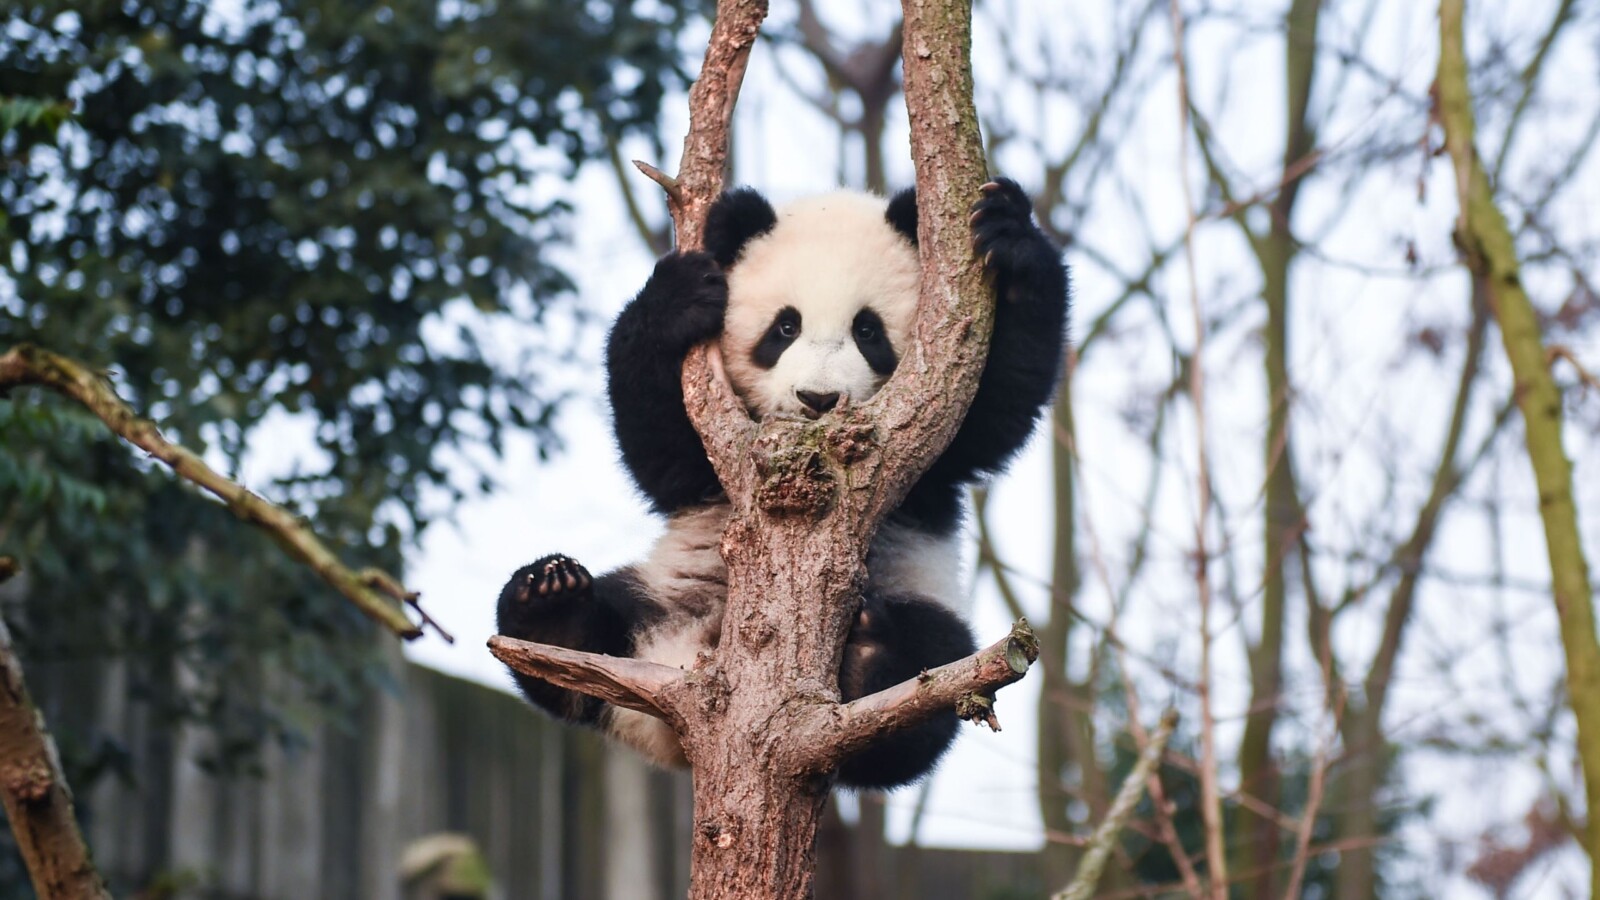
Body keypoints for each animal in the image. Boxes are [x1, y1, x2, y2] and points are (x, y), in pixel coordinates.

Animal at [496, 178, 1068, 789]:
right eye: (784, 327)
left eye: (868, 330)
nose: (817, 399)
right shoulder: (712, 458)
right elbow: (659, 449)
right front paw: (678, 298)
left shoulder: (934, 454)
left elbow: (996, 409)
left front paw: (1009, 236)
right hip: (663, 594)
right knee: (577, 633)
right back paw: (553, 605)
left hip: (923, 602)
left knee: (930, 674)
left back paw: (873, 659)